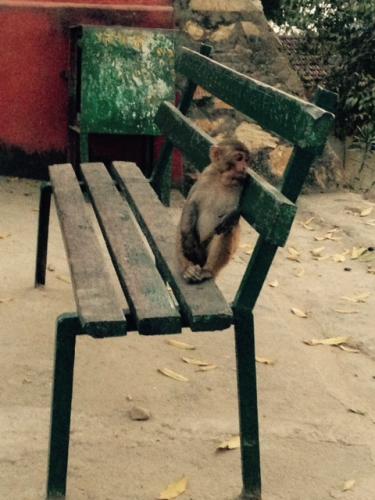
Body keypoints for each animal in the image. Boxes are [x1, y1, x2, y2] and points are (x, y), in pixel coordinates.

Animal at [177, 139, 253, 284]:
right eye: (239, 158)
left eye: (246, 160)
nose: (244, 168)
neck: (220, 179)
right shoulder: (205, 177)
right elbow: (191, 203)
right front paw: (188, 242)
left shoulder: (240, 186)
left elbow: (235, 214)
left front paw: (231, 216)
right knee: (182, 230)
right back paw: (188, 269)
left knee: (227, 230)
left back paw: (208, 271)